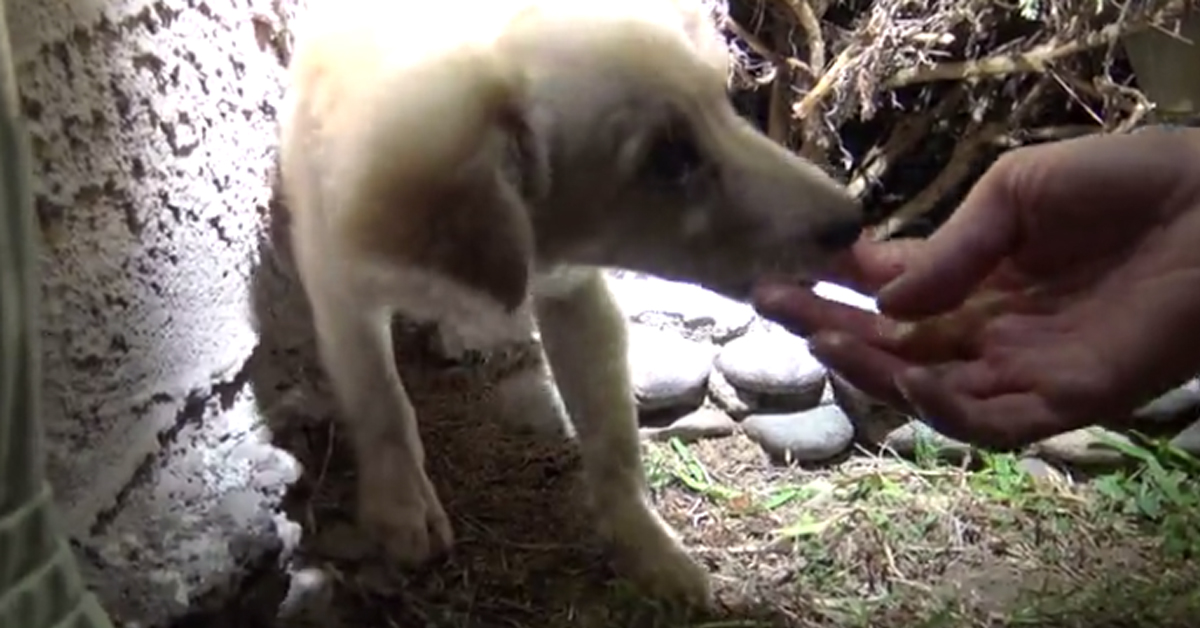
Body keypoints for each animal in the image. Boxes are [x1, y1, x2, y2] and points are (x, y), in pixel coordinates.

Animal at [277, 0, 868, 609]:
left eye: (725, 104)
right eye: (667, 159)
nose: (855, 222)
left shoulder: (577, 296)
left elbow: (613, 441)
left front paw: (649, 548)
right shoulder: (337, 283)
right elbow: (381, 402)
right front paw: (401, 507)